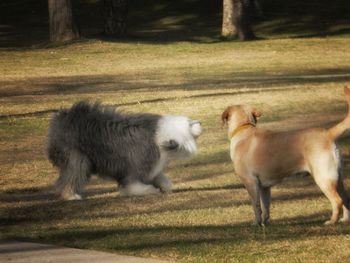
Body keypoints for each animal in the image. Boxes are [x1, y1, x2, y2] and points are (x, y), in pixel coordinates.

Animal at [46, 102, 201, 201]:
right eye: (189, 124)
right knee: (71, 175)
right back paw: (70, 195)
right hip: (77, 157)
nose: (200, 122)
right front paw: (149, 190)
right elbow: (133, 184)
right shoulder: (136, 166)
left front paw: (165, 187)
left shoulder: (152, 167)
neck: (161, 137)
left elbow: (161, 178)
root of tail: (62, 117)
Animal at [221, 87, 350, 226]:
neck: (243, 128)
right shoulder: (264, 187)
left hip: (324, 178)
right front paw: (265, 223)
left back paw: (332, 221)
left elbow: (256, 206)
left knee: (337, 201)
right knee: (346, 198)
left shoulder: (250, 182)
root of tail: (328, 133)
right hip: (337, 179)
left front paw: (256, 223)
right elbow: (265, 207)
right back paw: (345, 219)